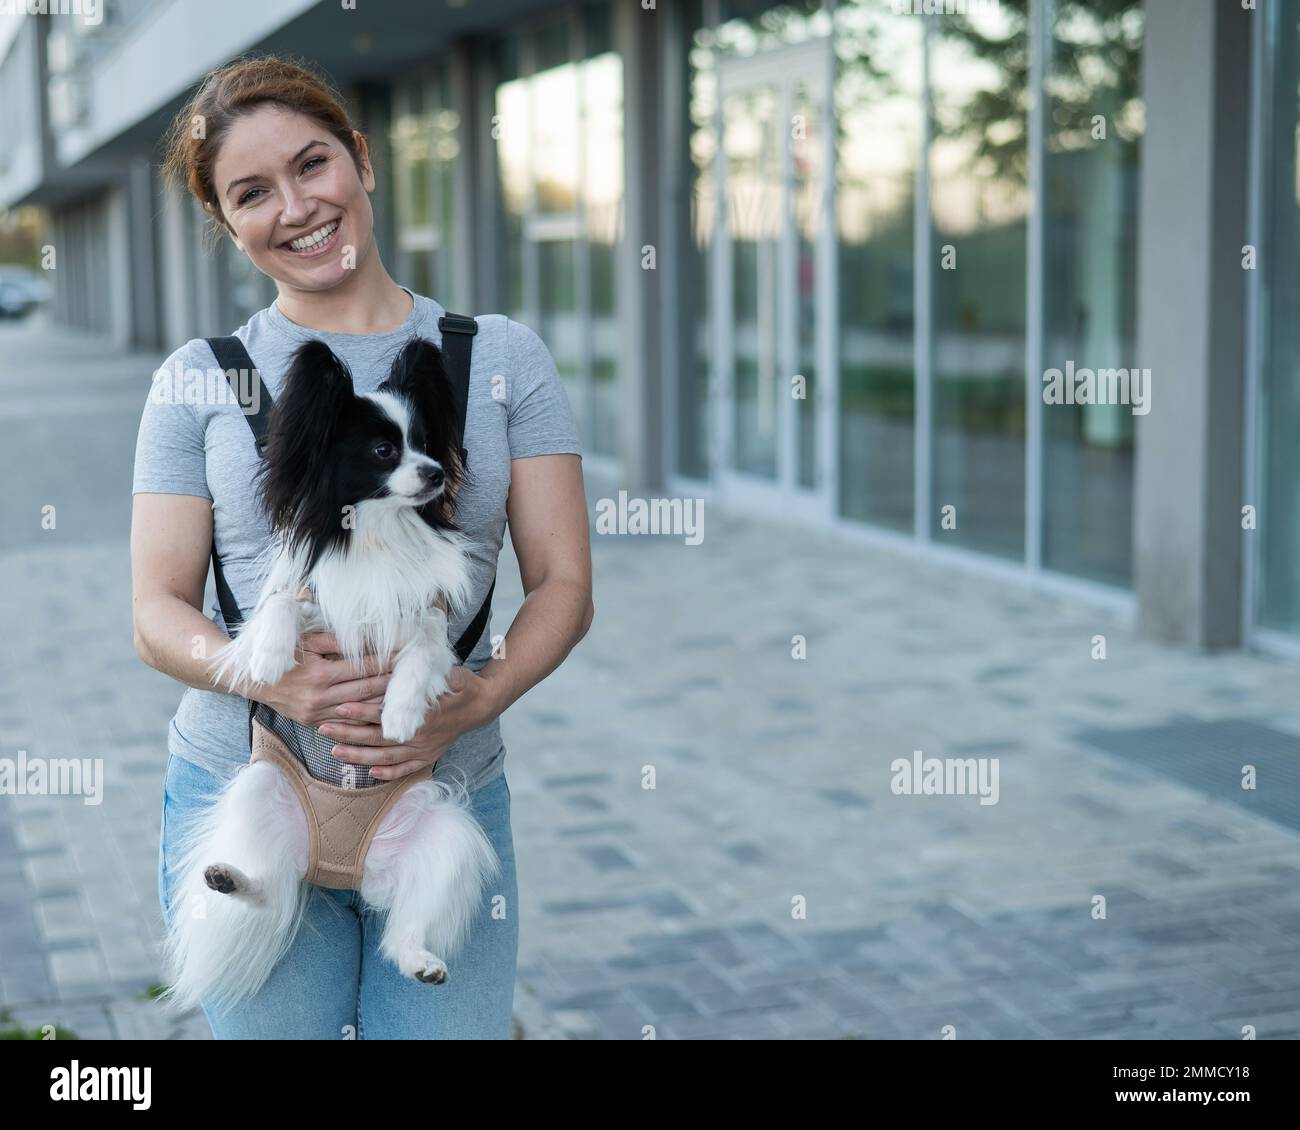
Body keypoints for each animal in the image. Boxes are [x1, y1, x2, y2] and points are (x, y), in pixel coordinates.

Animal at [157, 340, 491, 1009]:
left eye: (427, 443)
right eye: (385, 451)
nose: (436, 474)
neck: (379, 533)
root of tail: (337, 869)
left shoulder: (425, 620)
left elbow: (422, 650)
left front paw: (400, 712)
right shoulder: (311, 600)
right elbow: (282, 605)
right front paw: (268, 658)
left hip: (447, 837)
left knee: (402, 929)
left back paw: (421, 961)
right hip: (259, 791)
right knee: (274, 890)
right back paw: (231, 878)